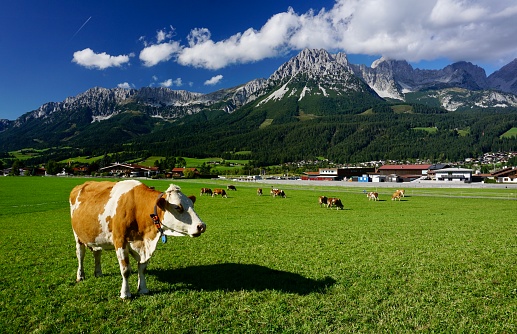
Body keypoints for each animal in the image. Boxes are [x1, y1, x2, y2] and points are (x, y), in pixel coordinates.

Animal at [69, 181, 207, 298]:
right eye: (178, 207)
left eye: (192, 205)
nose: (202, 226)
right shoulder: (120, 241)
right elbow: (125, 270)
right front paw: (125, 293)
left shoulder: (144, 245)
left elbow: (142, 268)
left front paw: (143, 289)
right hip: (77, 235)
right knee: (80, 254)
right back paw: (80, 276)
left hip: (95, 236)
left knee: (97, 252)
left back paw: (98, 272)